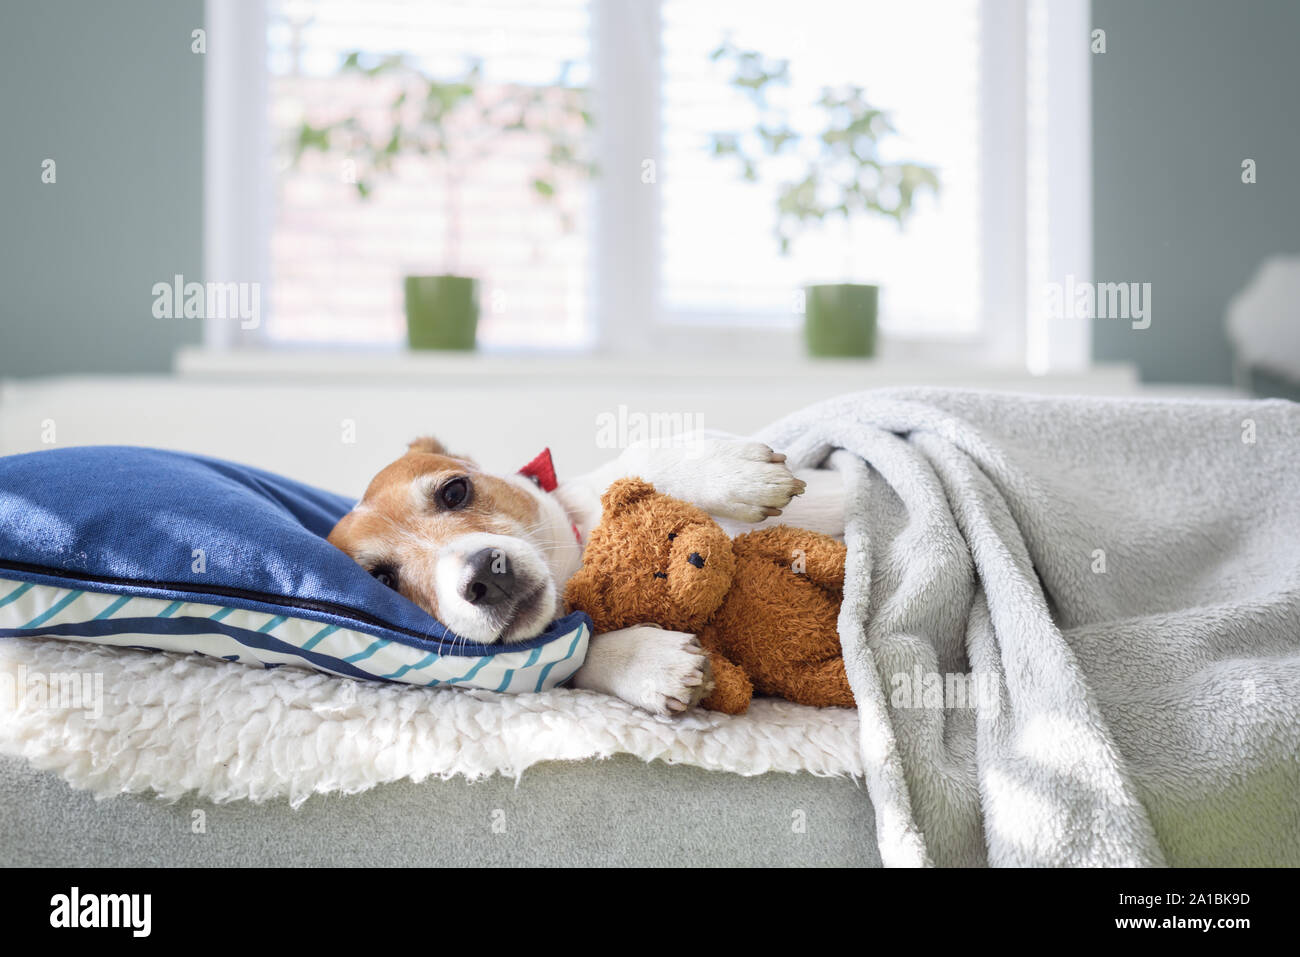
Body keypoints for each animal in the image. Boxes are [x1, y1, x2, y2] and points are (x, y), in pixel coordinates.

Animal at [330, 431, 847, 712]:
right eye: (382, 581)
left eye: (454, 491)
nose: (486, 575)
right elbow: (575, 655)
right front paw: (649, 662)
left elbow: (633, 464)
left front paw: (728, 473)